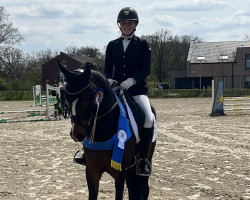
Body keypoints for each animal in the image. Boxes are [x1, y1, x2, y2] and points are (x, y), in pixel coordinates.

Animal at [58, 61, 156, 200]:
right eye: (66, 97)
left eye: (87, 97)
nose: (76, 134)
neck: (104, 132)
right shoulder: (92, 171)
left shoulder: (120, 173)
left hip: (145, 158)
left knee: (144, 188)